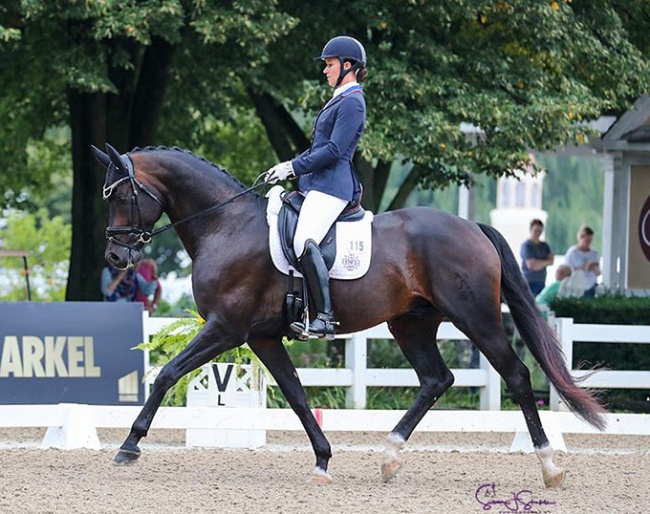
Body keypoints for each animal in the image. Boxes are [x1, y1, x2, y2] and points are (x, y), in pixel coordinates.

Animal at [91, 143, 604, 484]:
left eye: (121, 196)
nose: (115, 258)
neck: (226, 224)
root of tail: (474, 228)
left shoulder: (225, 329)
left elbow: (166, 374)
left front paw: (129, 444)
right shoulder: (260, 337)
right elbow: (297, 395)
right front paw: (322, 458)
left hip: (476, 318)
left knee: (516, 375)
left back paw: (550, 467)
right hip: (411, 323)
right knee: (436, 380)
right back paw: (390, 457)